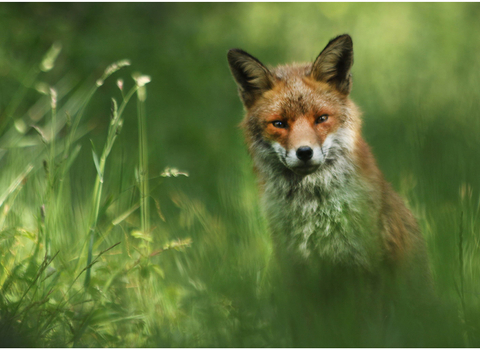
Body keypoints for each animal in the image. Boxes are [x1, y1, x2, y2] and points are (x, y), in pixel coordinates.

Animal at [228, 34, 432, 306]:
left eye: (322, 119)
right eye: (279, 124)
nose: (304, 152)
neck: (313, 210)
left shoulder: (364, 266)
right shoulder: (296, 269)